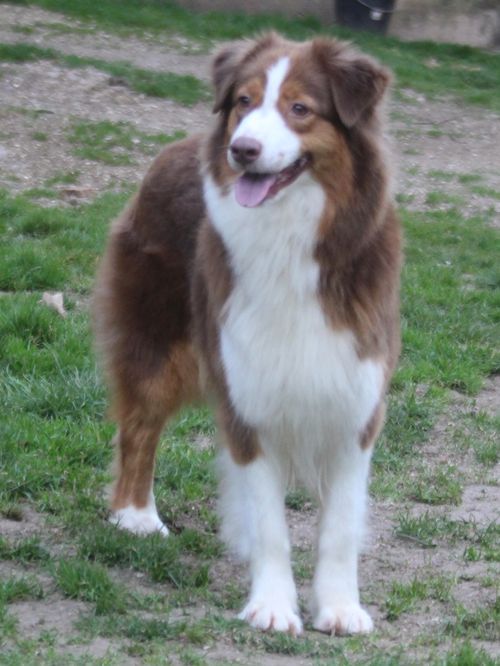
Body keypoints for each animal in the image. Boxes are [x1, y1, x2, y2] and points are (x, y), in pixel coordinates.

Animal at [93, 32, 402, 636]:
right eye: (243, 101)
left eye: (300, 108)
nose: (242, 150)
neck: (290, 238)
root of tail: (175, 147)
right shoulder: (248, 399)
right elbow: (271, 524)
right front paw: (273, 606)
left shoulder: (357, 402)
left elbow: (339, 528)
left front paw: (339, 608)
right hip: (159, 344)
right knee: (139, 428)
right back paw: (136, 516)